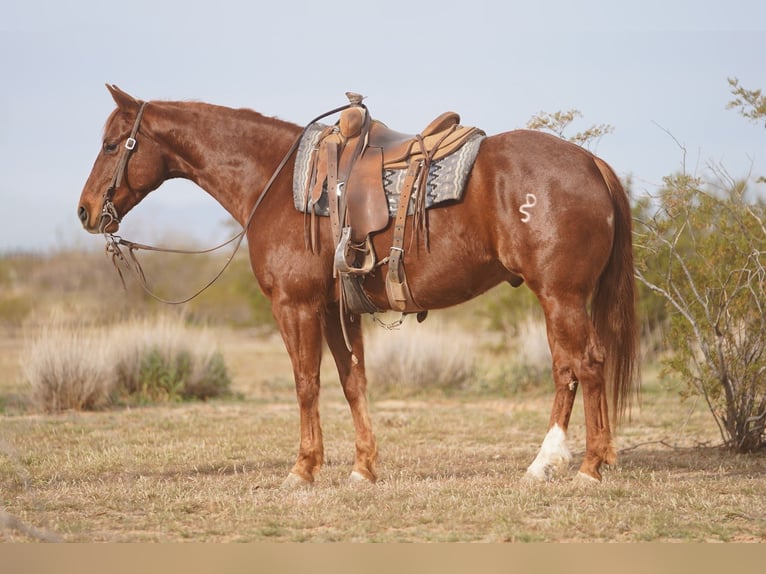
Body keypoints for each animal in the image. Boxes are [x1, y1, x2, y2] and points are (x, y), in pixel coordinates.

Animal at [77, 84, 638, 486]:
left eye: (111, 144)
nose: (84, 211)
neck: (276, 182)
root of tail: (589, 162)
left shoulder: (295, 305)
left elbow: (306, 383)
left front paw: (302, 469)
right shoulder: (336, 309)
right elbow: (353, 382)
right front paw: (363, 467)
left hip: (561, 296)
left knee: (584, 365)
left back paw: (584, 468)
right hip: (560, 299)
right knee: (571, 368)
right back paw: (563, 462)